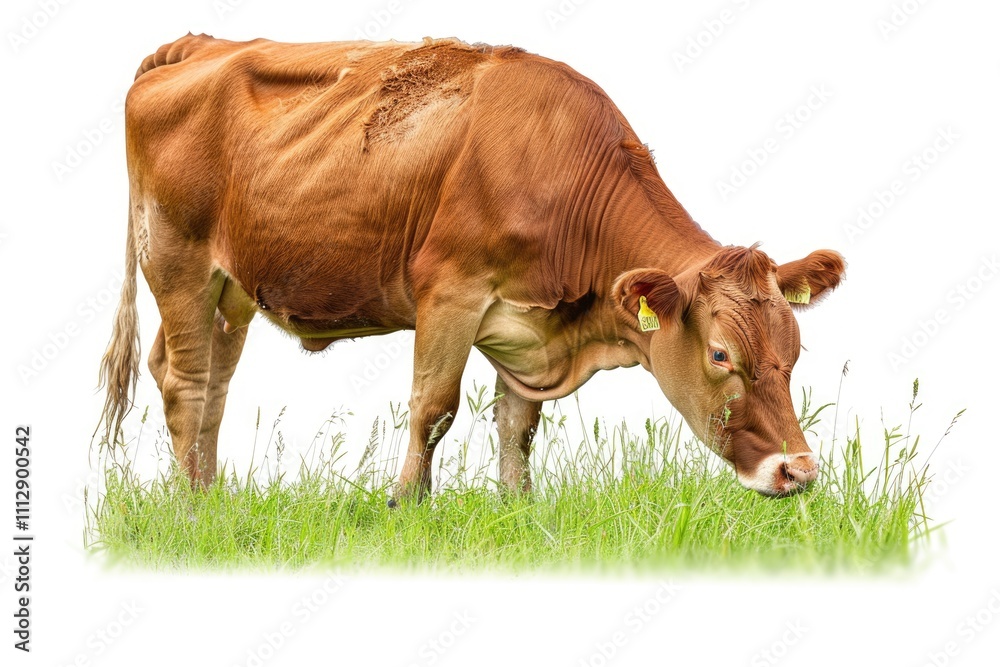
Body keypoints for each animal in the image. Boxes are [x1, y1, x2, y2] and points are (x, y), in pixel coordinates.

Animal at [98, 34, 845, 502]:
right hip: (178, 262)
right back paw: (191, 510)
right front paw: (406, 504)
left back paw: (210, 495)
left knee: (211, 383)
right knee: (186, 383)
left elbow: (518, 425)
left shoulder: (528, 324)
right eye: (720, 354)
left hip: (232, 290)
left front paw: (519, 507)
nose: (797, 470)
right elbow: (434, 409)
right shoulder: (448, 291)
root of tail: (202, 44)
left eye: (793, 351)